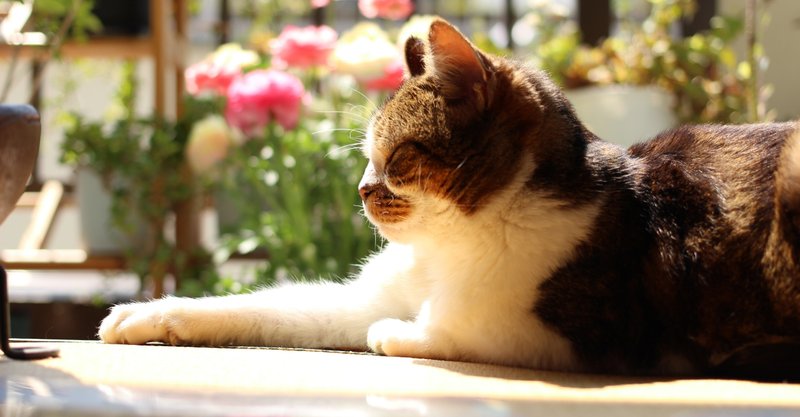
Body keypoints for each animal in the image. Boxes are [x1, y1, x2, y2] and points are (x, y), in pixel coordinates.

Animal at [100, 19, 800, 380]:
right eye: (366, 156)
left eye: (396, 157)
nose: (361, 190)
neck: (453, 243)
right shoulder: (368, 296)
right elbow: (266, 305)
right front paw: (147, 314)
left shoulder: (581, 336)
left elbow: (444, 327)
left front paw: (401, 335)